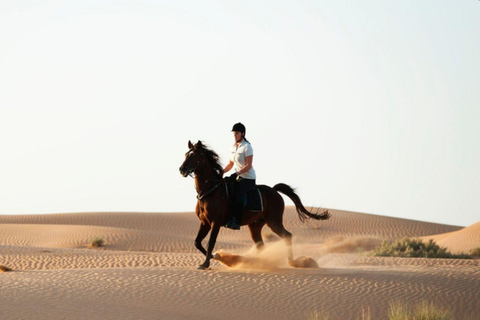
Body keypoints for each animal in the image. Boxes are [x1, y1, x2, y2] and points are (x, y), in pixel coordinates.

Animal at [180, 141, 330, 270]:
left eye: (194, 156)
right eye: (186, 154)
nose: (182, 169)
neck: (210, 191)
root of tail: (274, 191)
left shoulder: (215, 223)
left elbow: (211, 242)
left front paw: (207, 263)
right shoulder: (205, 222)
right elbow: (197, 242)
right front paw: (215, 257)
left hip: (274, 221)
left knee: (287, 236)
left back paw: (292, 262)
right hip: (255, 226)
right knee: (261, 245)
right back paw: (261, 263)